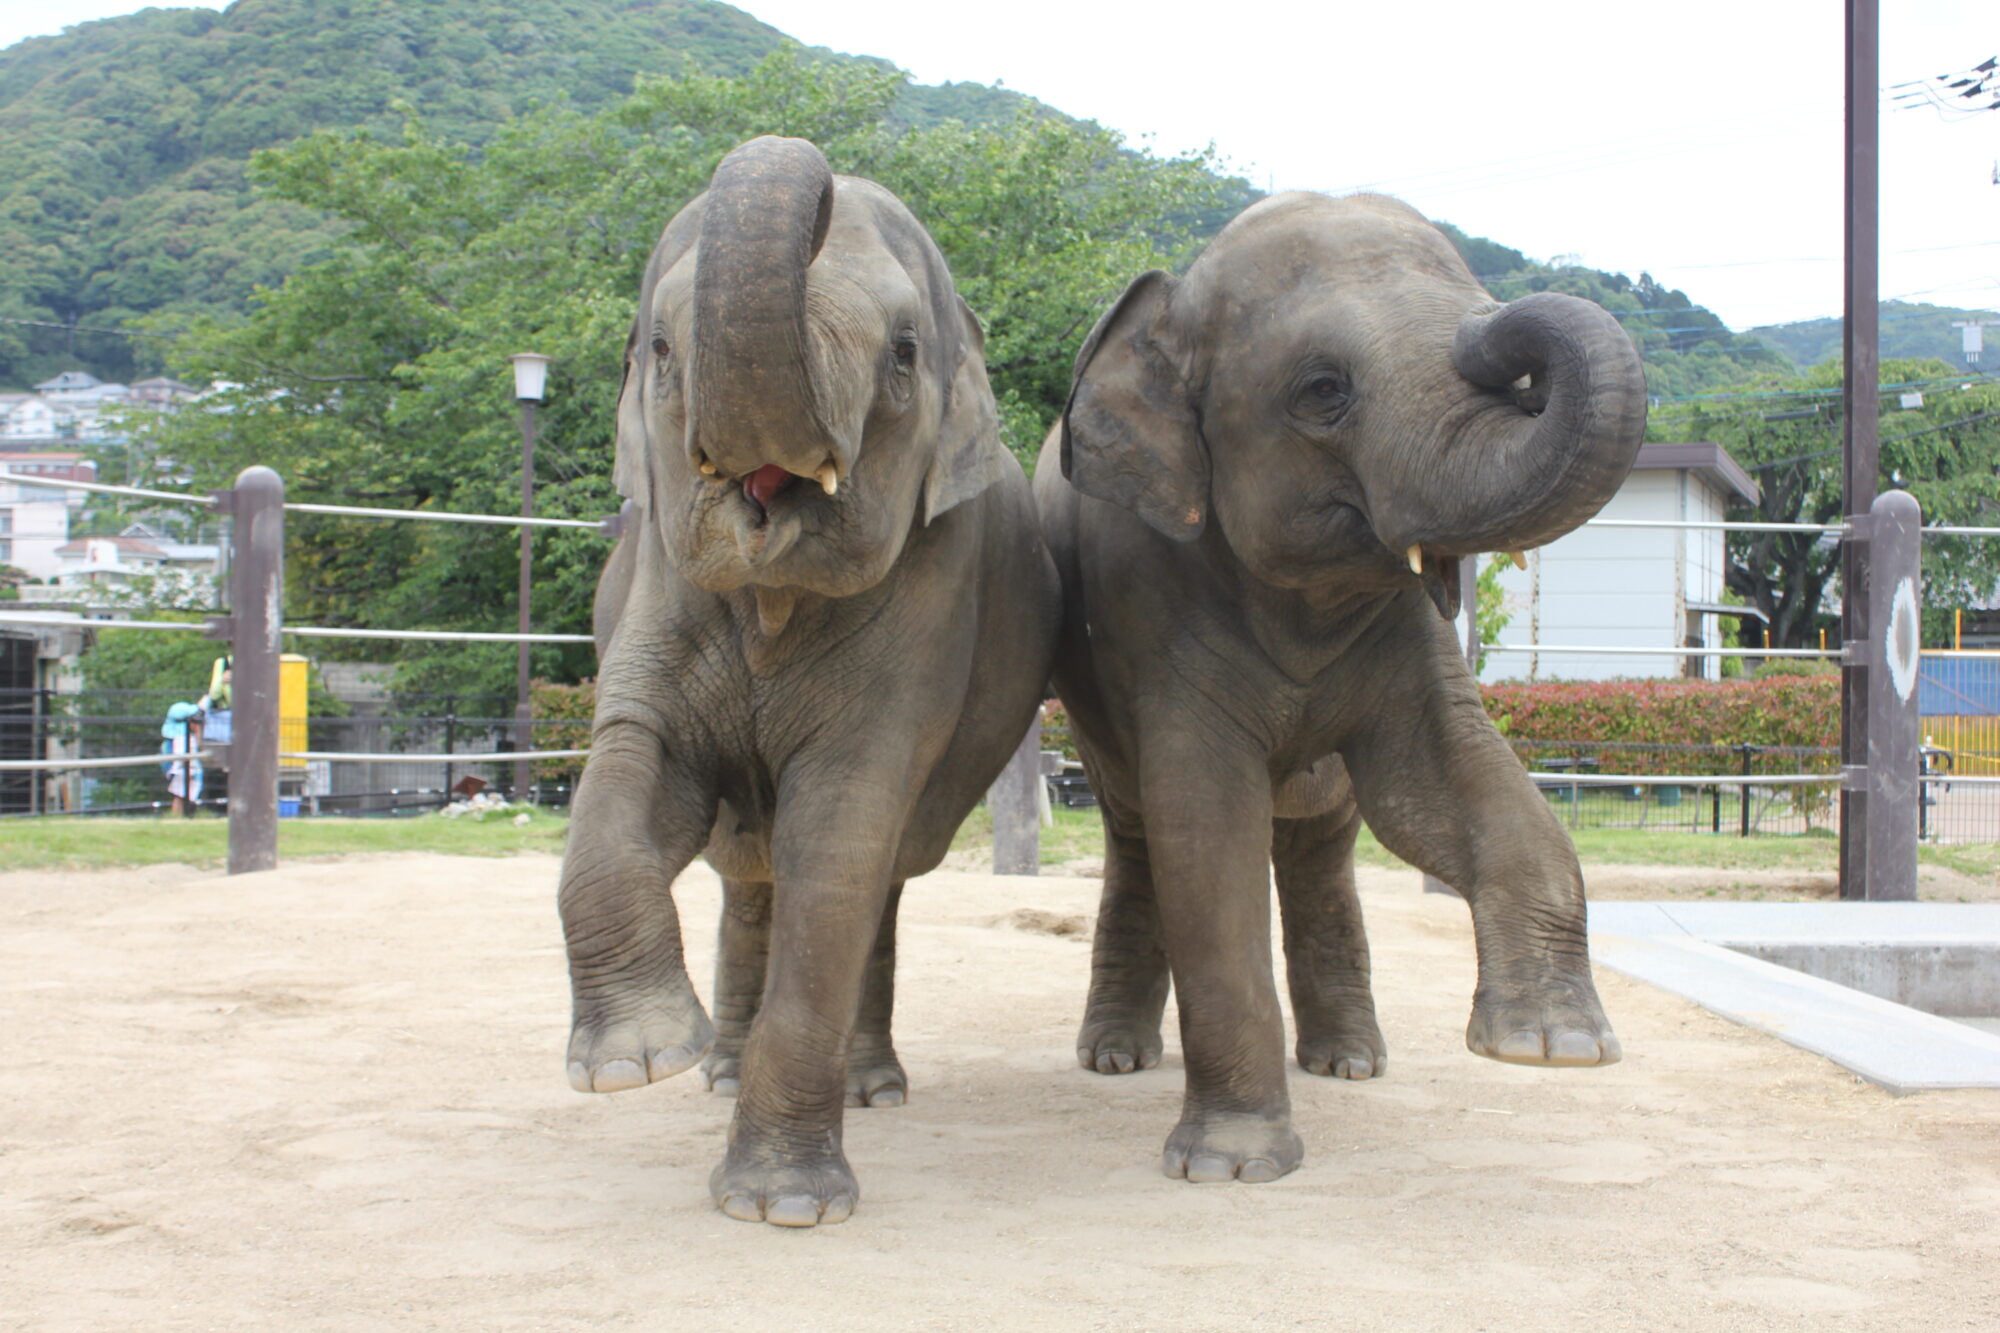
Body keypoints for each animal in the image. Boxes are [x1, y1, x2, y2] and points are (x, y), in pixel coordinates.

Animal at [560, 137, 1064, 1224]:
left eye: (904, 354)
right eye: (659, 349)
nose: (822, 168)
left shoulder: (930, 601)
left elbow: (838, 839)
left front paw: (784, 1207)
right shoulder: (658, 588)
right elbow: (628, 775)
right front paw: (636, 1061)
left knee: (863, 879)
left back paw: (868, 1089)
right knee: (747, 871)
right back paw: (714, 1066)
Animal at [1032, 189, 1640, 1184]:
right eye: (1323, 391)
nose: (1500, 329)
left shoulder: (1413, 633)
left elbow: (1450, 782)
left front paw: (1555, 1048)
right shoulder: (1153, 601)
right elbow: (1207, 835)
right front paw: (1231, 1166)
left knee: (1323, 848)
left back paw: (1350, 1063)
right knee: (1140, 834)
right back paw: (1116, 1059)